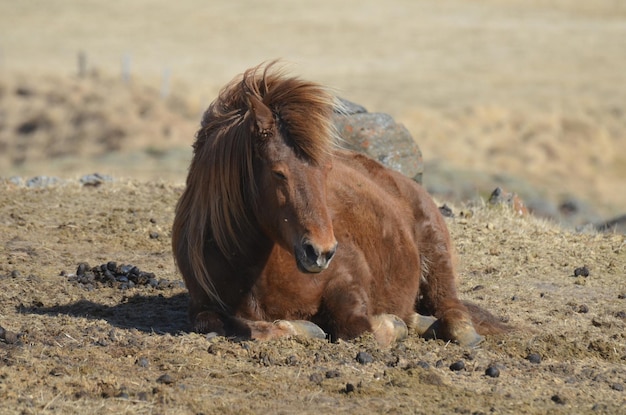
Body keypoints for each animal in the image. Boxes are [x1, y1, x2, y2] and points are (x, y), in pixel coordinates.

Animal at [172, 62, 508, 348]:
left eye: (326, 169)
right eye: (279, 172)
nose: (320, 252)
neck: (254, 269)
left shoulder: (348, 280)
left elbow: (357, 327)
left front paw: (391, 325)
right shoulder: (202, 307)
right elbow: (224, 324)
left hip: (435, 255)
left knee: (450, 307)